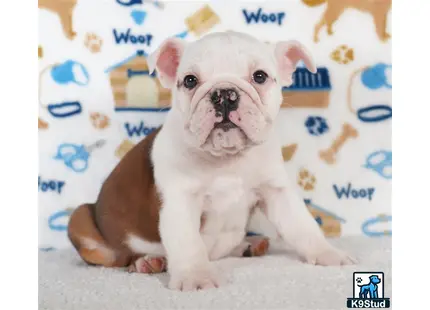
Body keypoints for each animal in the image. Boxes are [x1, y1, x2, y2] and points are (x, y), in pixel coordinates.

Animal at [69, 30, 354, 290]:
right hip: (81, 220)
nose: (224, 94)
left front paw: (327, 253)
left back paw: (248, 244)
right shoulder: (180, 201)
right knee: (118, 258)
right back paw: (147, 261)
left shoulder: (276, 192)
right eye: (190, 80)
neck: (227, 158)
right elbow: (188, 242)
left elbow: (302, 225)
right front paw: (196, 277)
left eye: (260, 76)